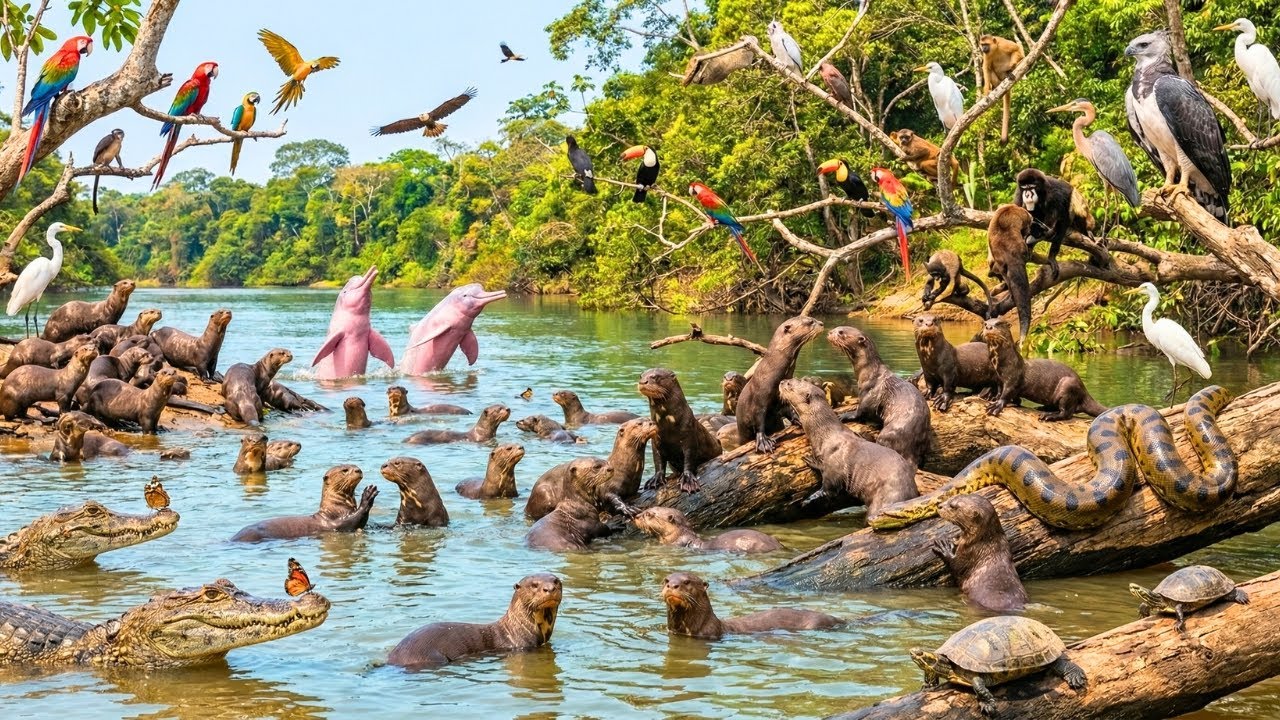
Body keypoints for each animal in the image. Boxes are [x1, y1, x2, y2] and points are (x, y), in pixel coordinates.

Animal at [230, 465, 377, 541]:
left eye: (356, 466)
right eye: (345, 470)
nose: (358, 470)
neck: (337, 507)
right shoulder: (337, 522)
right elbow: (355, 520)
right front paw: (368, 495)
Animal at [736, 315, 825, 453]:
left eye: (814, 318)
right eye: (810, 322)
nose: (822, 323)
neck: (771, 373)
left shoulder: (783, 397)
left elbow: (789, 408)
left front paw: (799, 419)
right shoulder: (758, 401)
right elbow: (759, 422)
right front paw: (764, 442)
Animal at [779, 379, 919, 517]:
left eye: (790, 384)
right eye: (795, 379)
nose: (781, 382)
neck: (826, 436)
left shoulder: (834, 468)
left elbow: (829, 489)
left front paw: (808, 498)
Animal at [828, 326, 931, 468]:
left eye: (841, 332)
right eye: (837, 328)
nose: (829, 332)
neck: (869, 372)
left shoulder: (869, 393)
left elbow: (861, 411)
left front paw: (844, 415)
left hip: (888, 434)